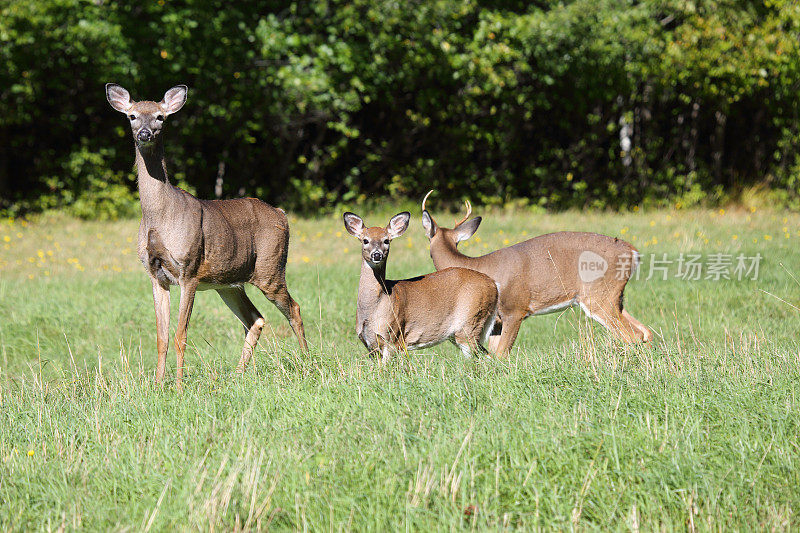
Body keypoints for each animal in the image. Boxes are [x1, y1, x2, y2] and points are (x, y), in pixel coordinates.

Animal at [104, 83, 308, 384]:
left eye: (160, 117)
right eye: (132, 116)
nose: (145, 134)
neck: (160, 217)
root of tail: (282, 213)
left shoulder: (188, 270)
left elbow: (181, 335)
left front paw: (178, 387)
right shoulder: (156, 275)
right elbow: (161, 338)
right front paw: (157, 385)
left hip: (270, 268)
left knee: (293, 309)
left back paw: (308, 361)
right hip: (229, 282)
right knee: (255, 319)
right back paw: (238, 375)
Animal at [340, 210, 496, 360]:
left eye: (386, 241)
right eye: (365, 240)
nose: (377, 255)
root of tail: (493, 284)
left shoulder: (394, 338)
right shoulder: (371, 346)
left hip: (470, 322)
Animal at [418, 189, 648, 356]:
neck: (477, 265)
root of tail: (633, 252)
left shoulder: (515, 309)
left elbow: (501, 354)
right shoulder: (496, 323)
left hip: (598, 296)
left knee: (633, 335)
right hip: (615, 297)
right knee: (645, 332)